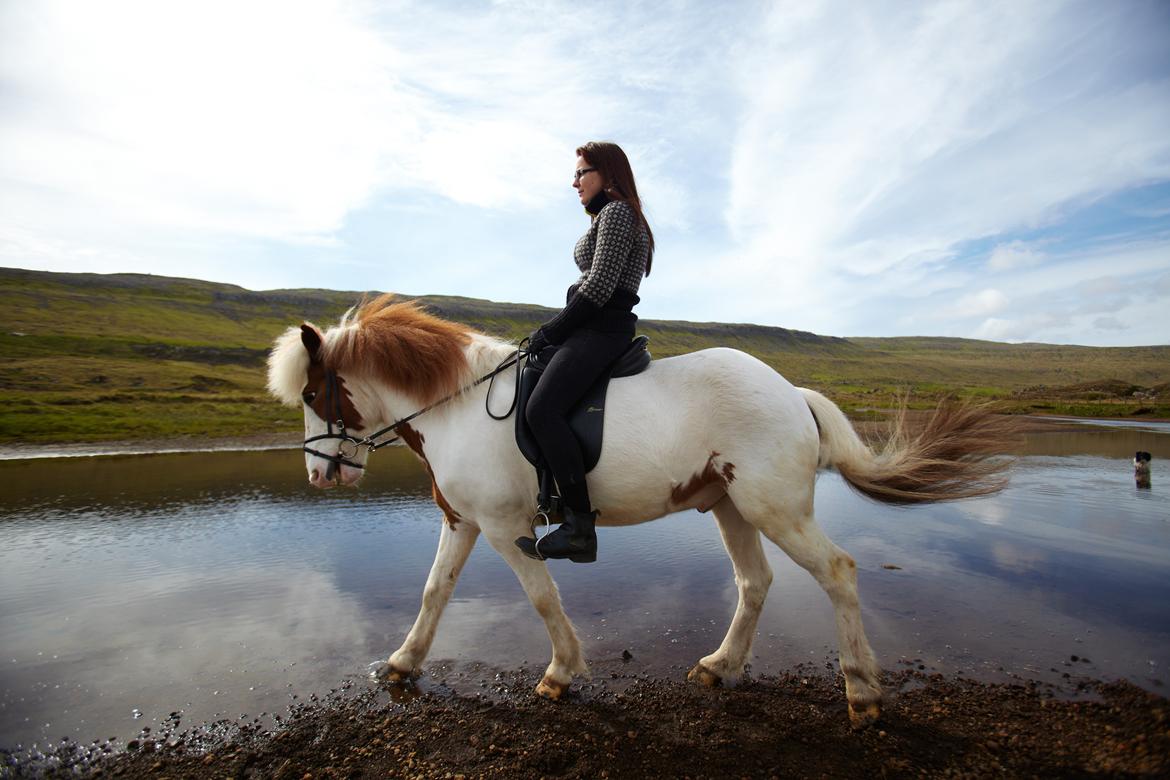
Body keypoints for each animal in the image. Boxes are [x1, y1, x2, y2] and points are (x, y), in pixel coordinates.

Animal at [265, 295, 1015, 729]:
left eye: (313, 393)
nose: (317, 474)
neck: (458, 406)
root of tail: (791, 391)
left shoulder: (508, 530)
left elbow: (543, 599)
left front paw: (561, 674)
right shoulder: (465, 521)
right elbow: (433, 592)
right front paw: (401, 663)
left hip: (773, 507)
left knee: (838, 571)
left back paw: (862, 693)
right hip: (731, 507)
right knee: (755, 583)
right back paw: (720, 667)